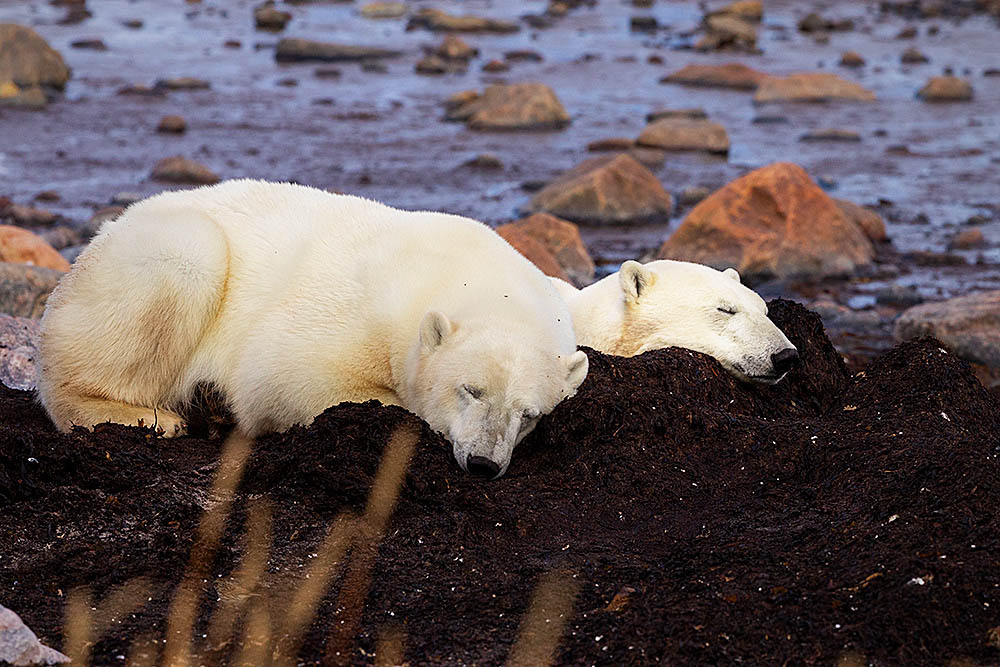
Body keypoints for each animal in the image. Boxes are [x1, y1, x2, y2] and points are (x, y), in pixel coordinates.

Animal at [37, 180, 584, 478]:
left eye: (530, 414)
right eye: (470, 389)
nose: (484, 463)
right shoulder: (357, 308)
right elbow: (284, 375)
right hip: (153, 257)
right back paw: (150, 417)